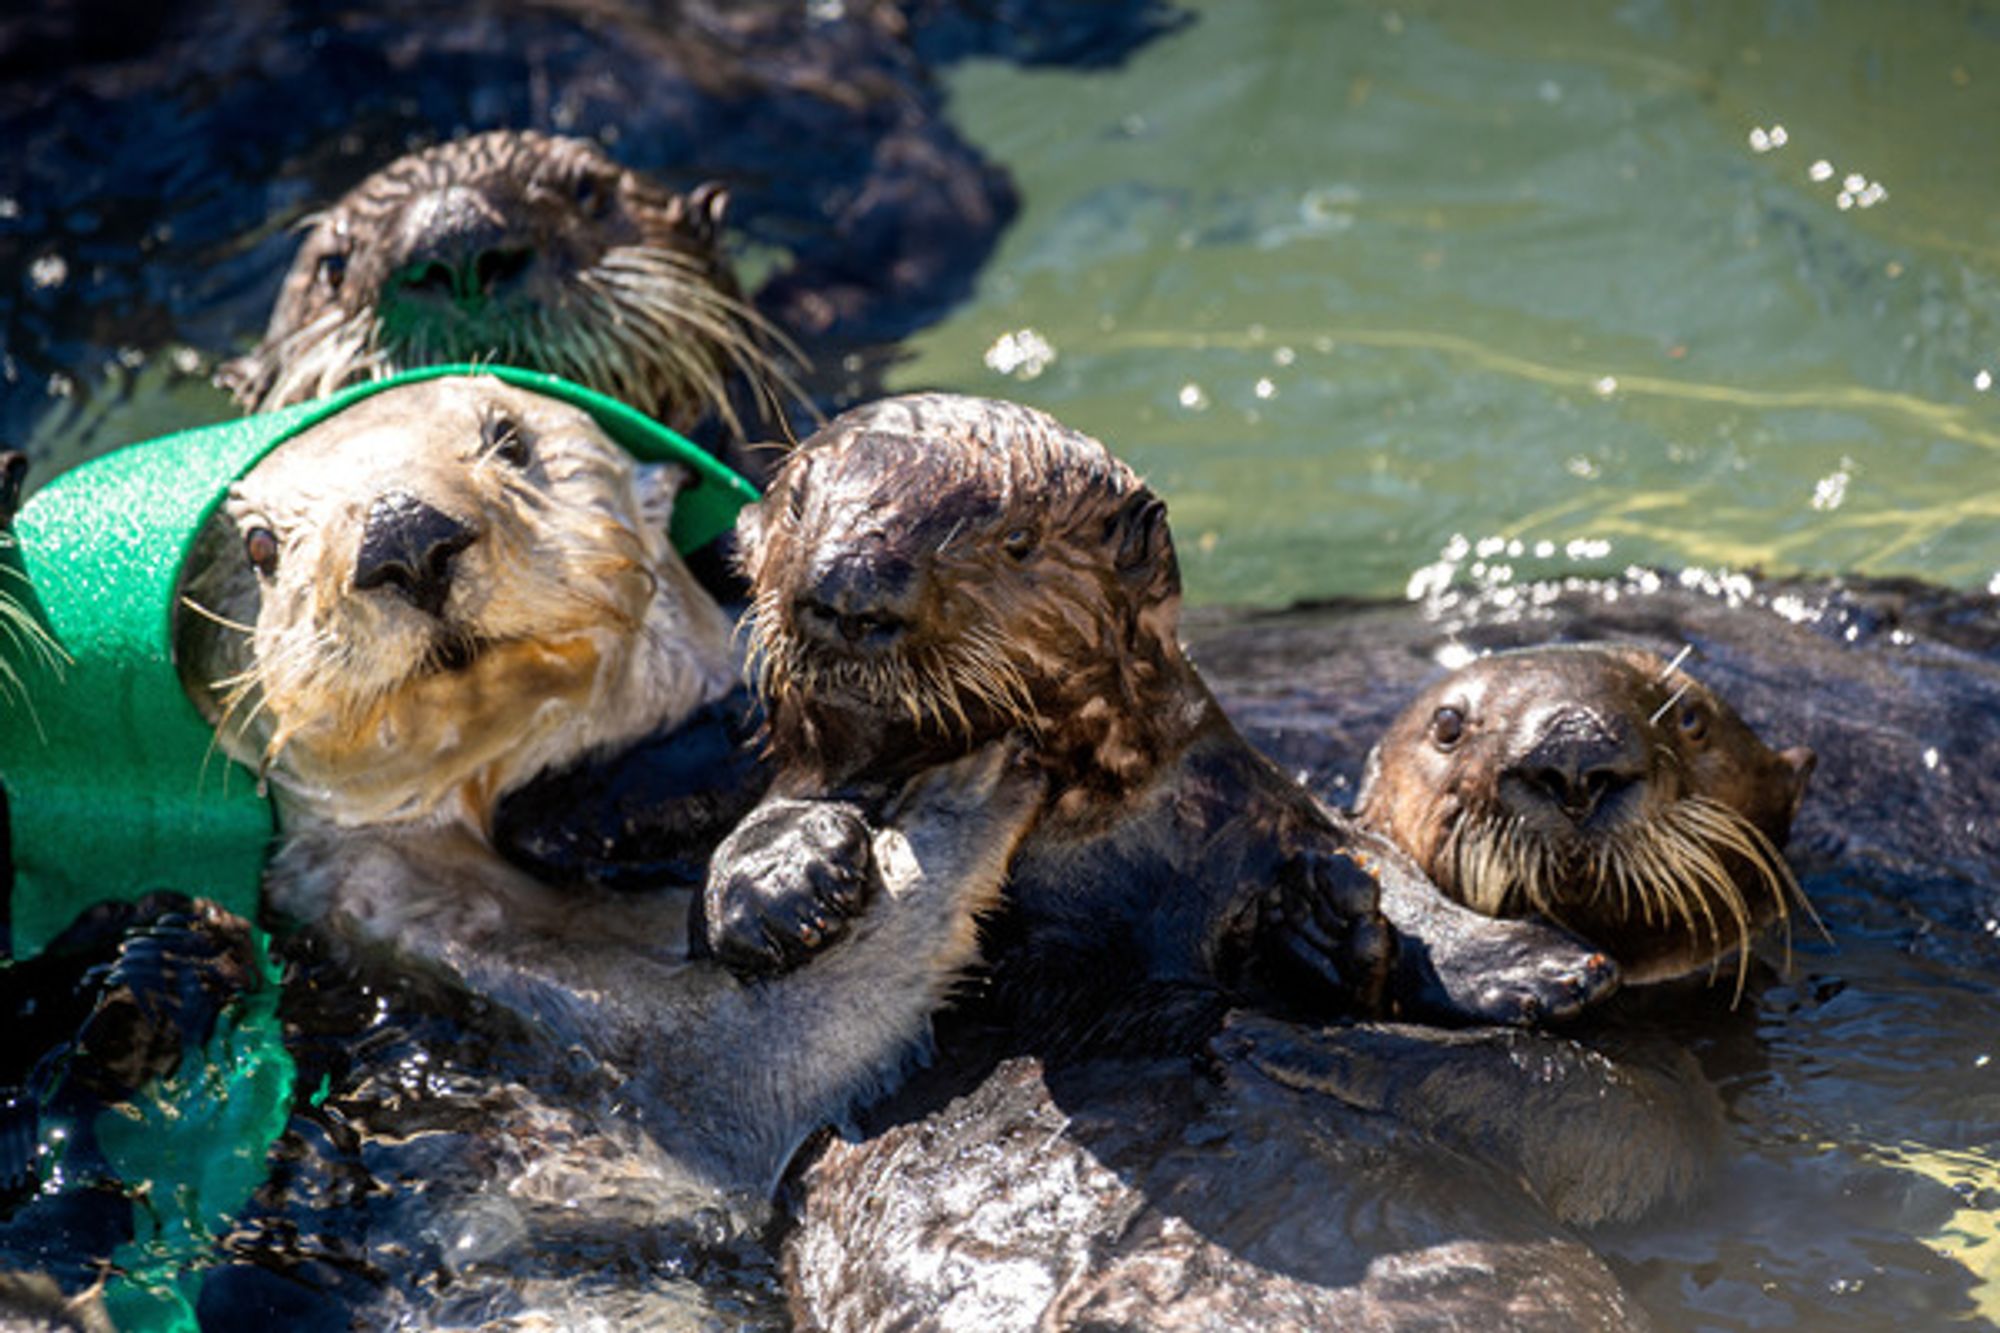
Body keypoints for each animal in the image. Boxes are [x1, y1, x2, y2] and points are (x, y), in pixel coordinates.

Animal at [700, 392, 1608, 1048]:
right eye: (798, 504)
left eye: (1018, 540)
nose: (851, 587)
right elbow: (791, 804)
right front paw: (777, 882)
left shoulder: (1251, 806)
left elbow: (1388, 872)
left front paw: (1533, 965)